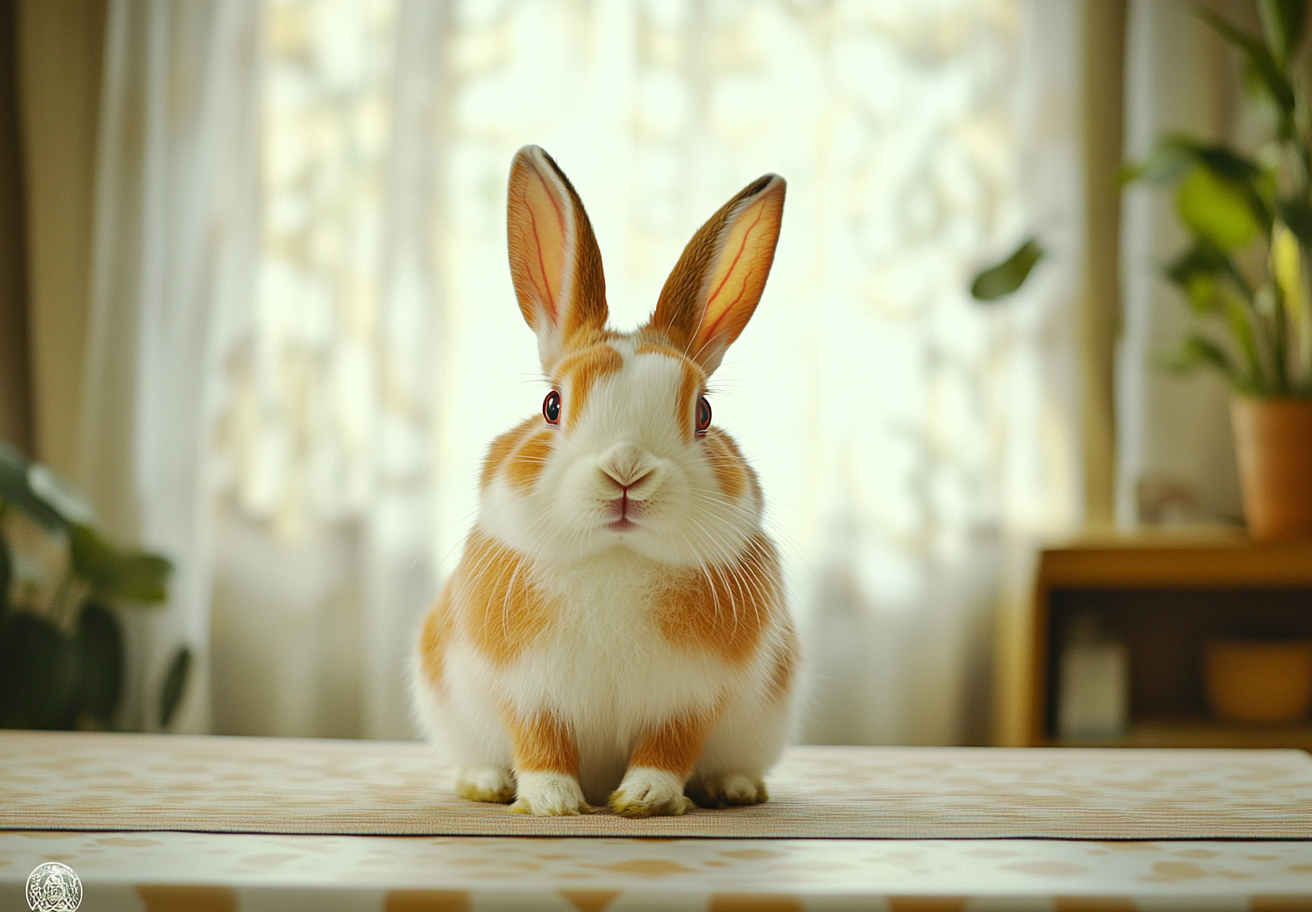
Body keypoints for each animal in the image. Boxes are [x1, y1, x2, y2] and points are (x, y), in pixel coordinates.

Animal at [409, 144, 797, 818]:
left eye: (703, 413)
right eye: (552, 405)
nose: (626, 471)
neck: (617, 559)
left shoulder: (692, 699)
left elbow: (668, 749)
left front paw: (645, 799)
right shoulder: (527, 692)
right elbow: (540, 744)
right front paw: (553, 803)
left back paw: (734, 788)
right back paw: (484, 784)